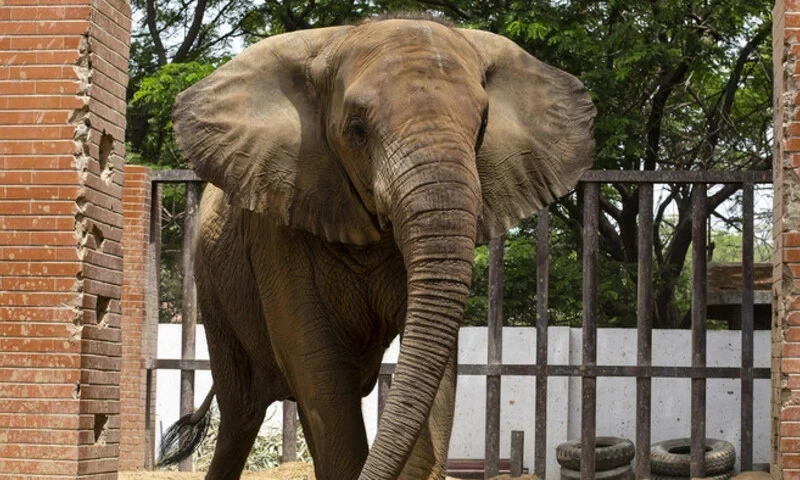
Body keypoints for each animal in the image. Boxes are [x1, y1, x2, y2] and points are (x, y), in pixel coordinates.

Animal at [156, 14, 595, 480]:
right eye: (357, 130)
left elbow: (436, 373)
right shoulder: (280, 221)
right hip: (214, 295)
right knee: (242, 415)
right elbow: (321, 369)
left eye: (481, 128)